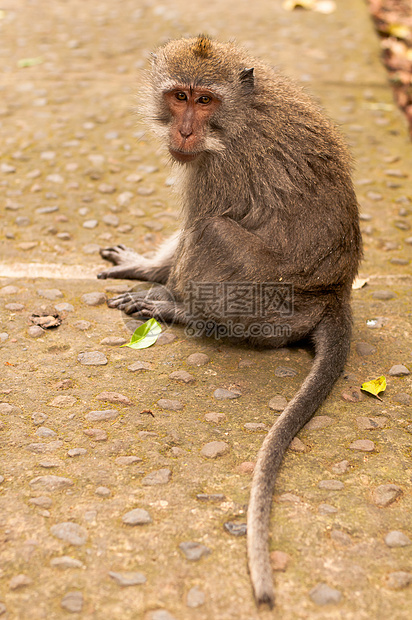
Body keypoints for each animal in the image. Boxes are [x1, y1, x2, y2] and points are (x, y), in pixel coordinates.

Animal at [98, 36, 362, 608]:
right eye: (179, 96)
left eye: (205, 101)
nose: (184, 131)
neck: (238, 115)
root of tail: (332, 296)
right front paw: (141, 264)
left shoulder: (217, 169)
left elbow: (199, 223)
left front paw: (156, 279)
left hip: (263, 300)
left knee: (212, 232)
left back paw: (185, 311)